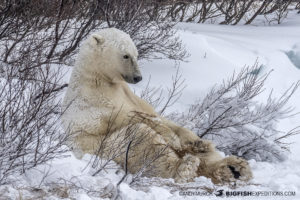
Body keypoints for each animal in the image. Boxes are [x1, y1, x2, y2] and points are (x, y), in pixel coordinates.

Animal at [62, 28, 252, 184]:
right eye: (125, 55)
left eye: (136, 54)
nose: (138, 77)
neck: (97, 79)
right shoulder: (98, 104)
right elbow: (133, 117)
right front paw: (173, 140)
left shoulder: (129, 95)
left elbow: (160, 117)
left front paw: (191, 141)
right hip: (105, 146)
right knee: (141, 141)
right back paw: (185, 167)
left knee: (206, 155)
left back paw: (234, 167)